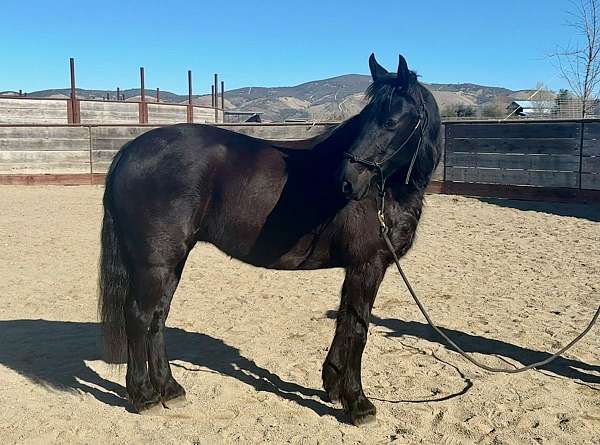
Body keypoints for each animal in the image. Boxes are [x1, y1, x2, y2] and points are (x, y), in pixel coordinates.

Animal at [99, 53, 440, 424]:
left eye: (391, 120)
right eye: (368, 118)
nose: (347, 180)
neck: (385, 191)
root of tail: (130, 150)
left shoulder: (358, 269)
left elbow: (345, 322)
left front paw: (334, 387)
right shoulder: (367, 265)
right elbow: (357, 329)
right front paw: (358, 403)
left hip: (171, 261)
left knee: (158, 316)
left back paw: (170, 390)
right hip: (154, 262)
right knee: (139, 317)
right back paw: (144, 396)